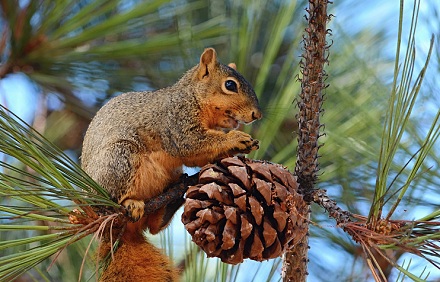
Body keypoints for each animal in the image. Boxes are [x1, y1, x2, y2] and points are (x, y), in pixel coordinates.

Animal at [80, 47, 262, 280]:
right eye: (230, 85)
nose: (257, 115)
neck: (192, 97)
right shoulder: (177, 123)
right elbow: (190, 145)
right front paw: (236, 139)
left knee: (153, 227)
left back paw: (174, 197)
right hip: (120, 158)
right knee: (112, 204)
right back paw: (129, 203)